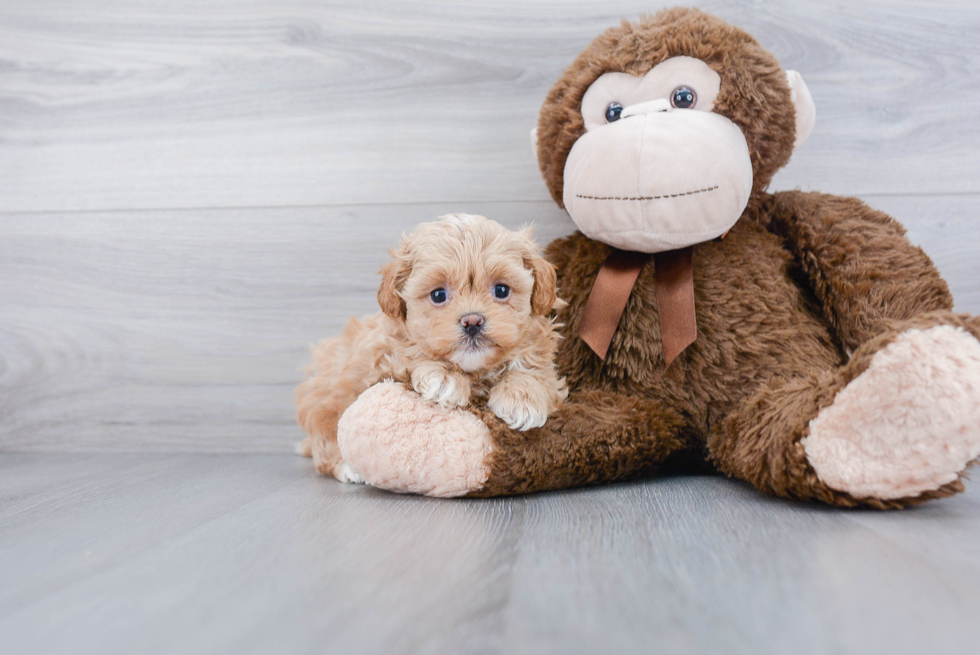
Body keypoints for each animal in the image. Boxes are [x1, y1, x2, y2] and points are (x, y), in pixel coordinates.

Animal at [294, 214, 568, 482]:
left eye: (501, 290)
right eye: (438, 295)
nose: (472, 321)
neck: (475, 371)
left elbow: (534, 372)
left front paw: (522, 398)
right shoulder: (383, 359)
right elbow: (412, 356)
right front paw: (444, 377)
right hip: (326, 402)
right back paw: (347, 467)